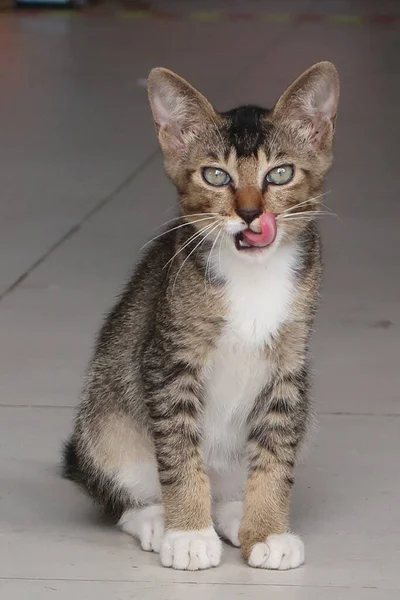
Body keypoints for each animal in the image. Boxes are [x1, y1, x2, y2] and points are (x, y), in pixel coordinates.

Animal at [64, 61, 340, 572]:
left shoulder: (289, 366)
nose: (250, 214)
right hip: (105, 417)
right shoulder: (169, 359)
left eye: (280, 173)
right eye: (215, 175)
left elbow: (276, 454)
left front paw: (266, 530)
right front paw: (188, 533)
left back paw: (233, 513)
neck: (253, 276)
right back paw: (158, 518)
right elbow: (178, 451)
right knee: (122, 488)